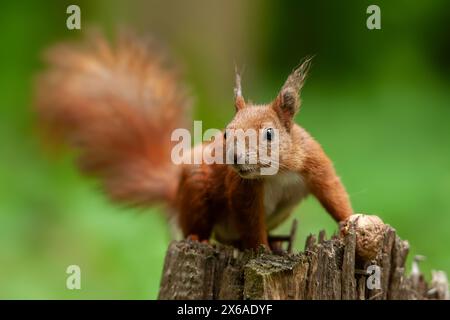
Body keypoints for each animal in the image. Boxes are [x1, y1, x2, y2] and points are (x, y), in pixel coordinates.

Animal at [35, 32, 354, 250]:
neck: (277, 173)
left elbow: (332, 191)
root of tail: (176, 193)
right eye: (225, 134)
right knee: (202, 228)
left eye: (269, 134)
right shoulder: (242, 190)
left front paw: (350, 223)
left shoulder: (314, 163)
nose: (234, 158)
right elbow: (250, 220)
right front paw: (260, 248)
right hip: (197, 192)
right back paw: (201, 239)